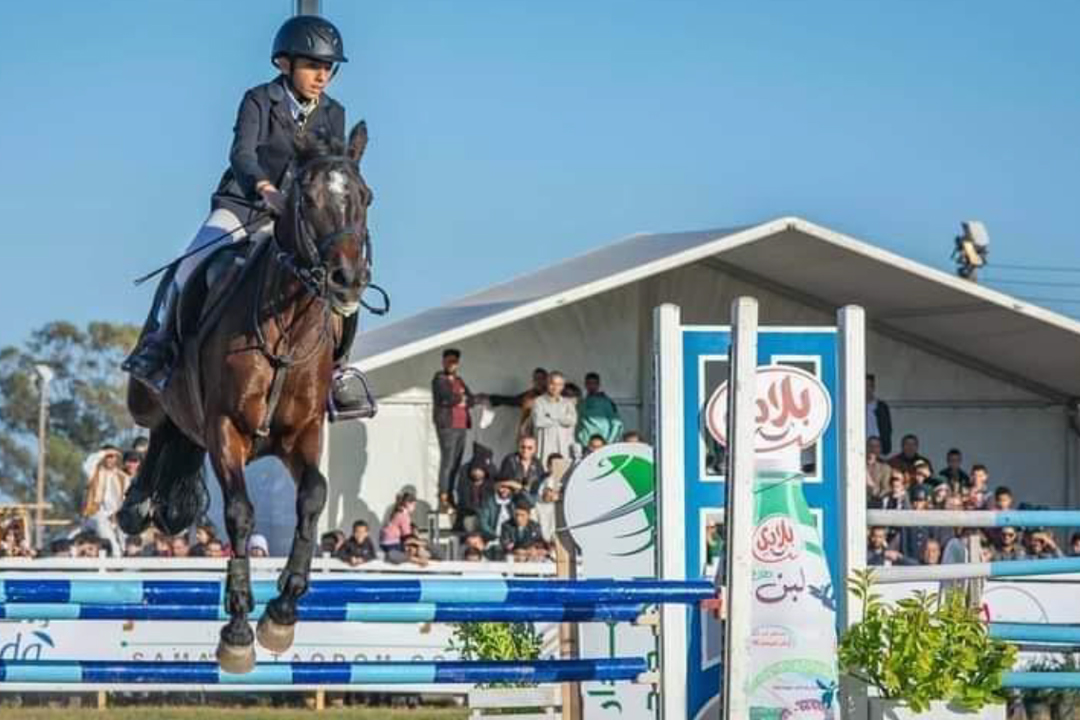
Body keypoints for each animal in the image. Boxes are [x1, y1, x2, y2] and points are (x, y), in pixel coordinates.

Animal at [119, 124, 373, 677]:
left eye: (365, 197)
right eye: (308, 199)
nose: (348, 281)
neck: (289, 322)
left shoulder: (303, 434)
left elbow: (314, 496)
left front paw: (282, 612)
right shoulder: (226, 431)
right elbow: (239, 512)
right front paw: (237, 632)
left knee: (174, 435)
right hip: (149, 397)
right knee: (158, 427)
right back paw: (136, 503)